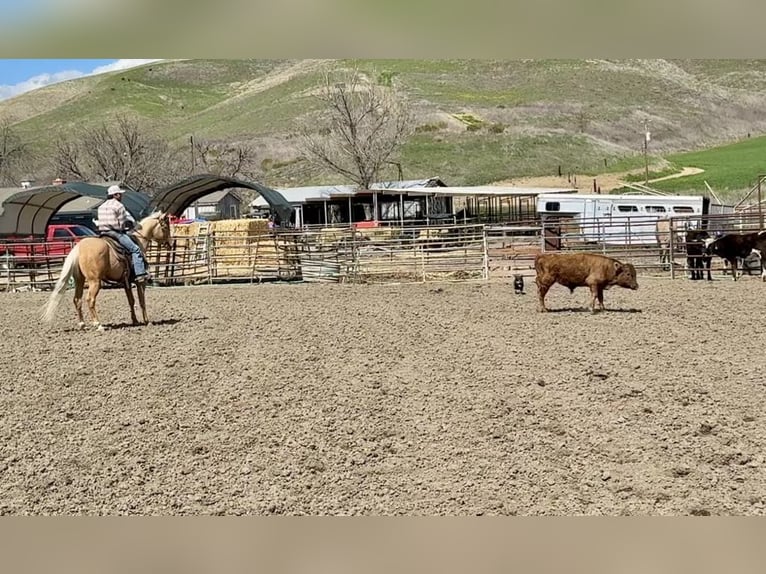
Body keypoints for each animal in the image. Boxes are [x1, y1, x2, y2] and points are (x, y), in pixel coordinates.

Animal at [41, 212, 172, 330]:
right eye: (166, 227)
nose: (170, 244)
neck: (139, 242)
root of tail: (79, 248)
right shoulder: (140, 281)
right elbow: (141, 300)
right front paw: (147, 321)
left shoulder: (126, 282)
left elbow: (131, 300)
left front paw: (135, 320)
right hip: (95, 281)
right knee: (90, 300)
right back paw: (98, 324)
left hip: (79, 280)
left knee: (77, 300)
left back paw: (82, 324)